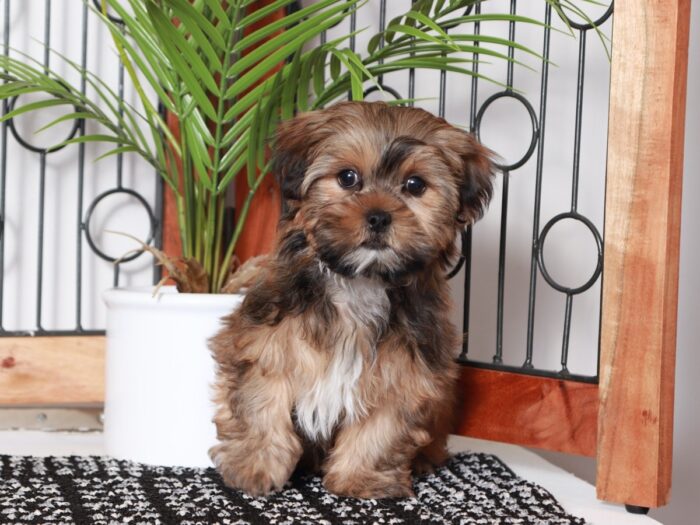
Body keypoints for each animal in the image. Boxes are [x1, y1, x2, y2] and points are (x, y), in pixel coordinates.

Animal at [208, 100, 492, 498]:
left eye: (415, 185)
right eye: (347, 178)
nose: (378, 217)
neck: (360, 282)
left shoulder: (405, 372)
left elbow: (380, 428)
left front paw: (359, 478)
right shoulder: (267, 343)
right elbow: (261, 404)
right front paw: (255, 468)